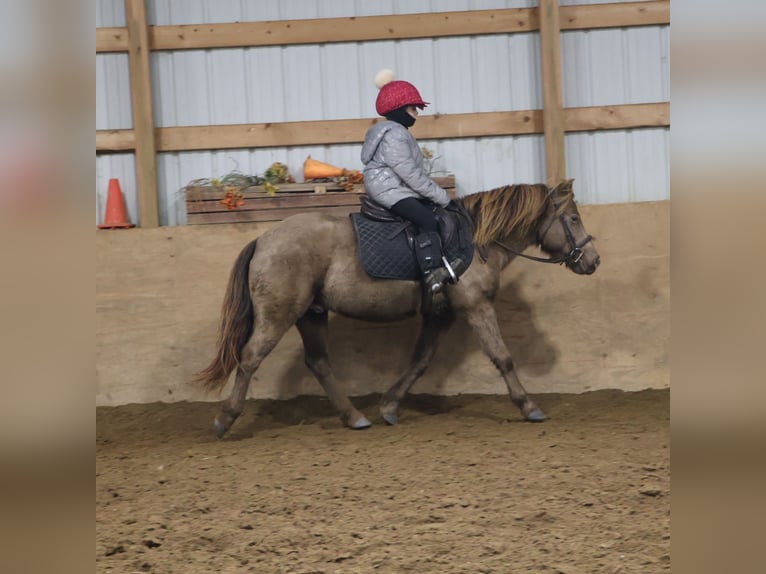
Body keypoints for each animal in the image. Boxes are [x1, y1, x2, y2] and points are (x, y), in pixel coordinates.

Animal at [196, 179, 600, 437]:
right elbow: (503, 357)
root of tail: (263, 239)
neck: (476, 241)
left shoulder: (441, 314)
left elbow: (420, 361)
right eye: (574, 218)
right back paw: (225, 419)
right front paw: (528, 406)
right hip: (279, 314)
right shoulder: (475, 306)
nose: (593, 260)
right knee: (250, 358)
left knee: (319, 362)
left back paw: (354, 417)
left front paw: (389, 406)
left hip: (312, 314)